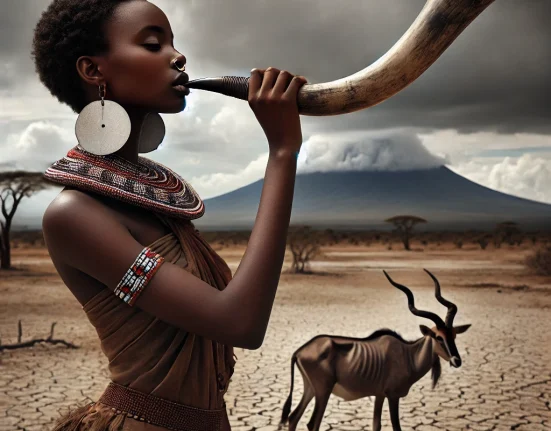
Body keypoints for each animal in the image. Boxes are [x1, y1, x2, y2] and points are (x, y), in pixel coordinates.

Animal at [278, 270, 472, 431]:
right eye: (438, 337)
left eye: (453, 335)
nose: (457, 360)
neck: (408, 354)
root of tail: (299, 352)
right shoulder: (393, 396)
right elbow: (396, 428)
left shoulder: (379, 396)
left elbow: (376, 426)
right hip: (323, 391)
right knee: (312, 423)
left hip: (310, 388)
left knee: (293, 417)